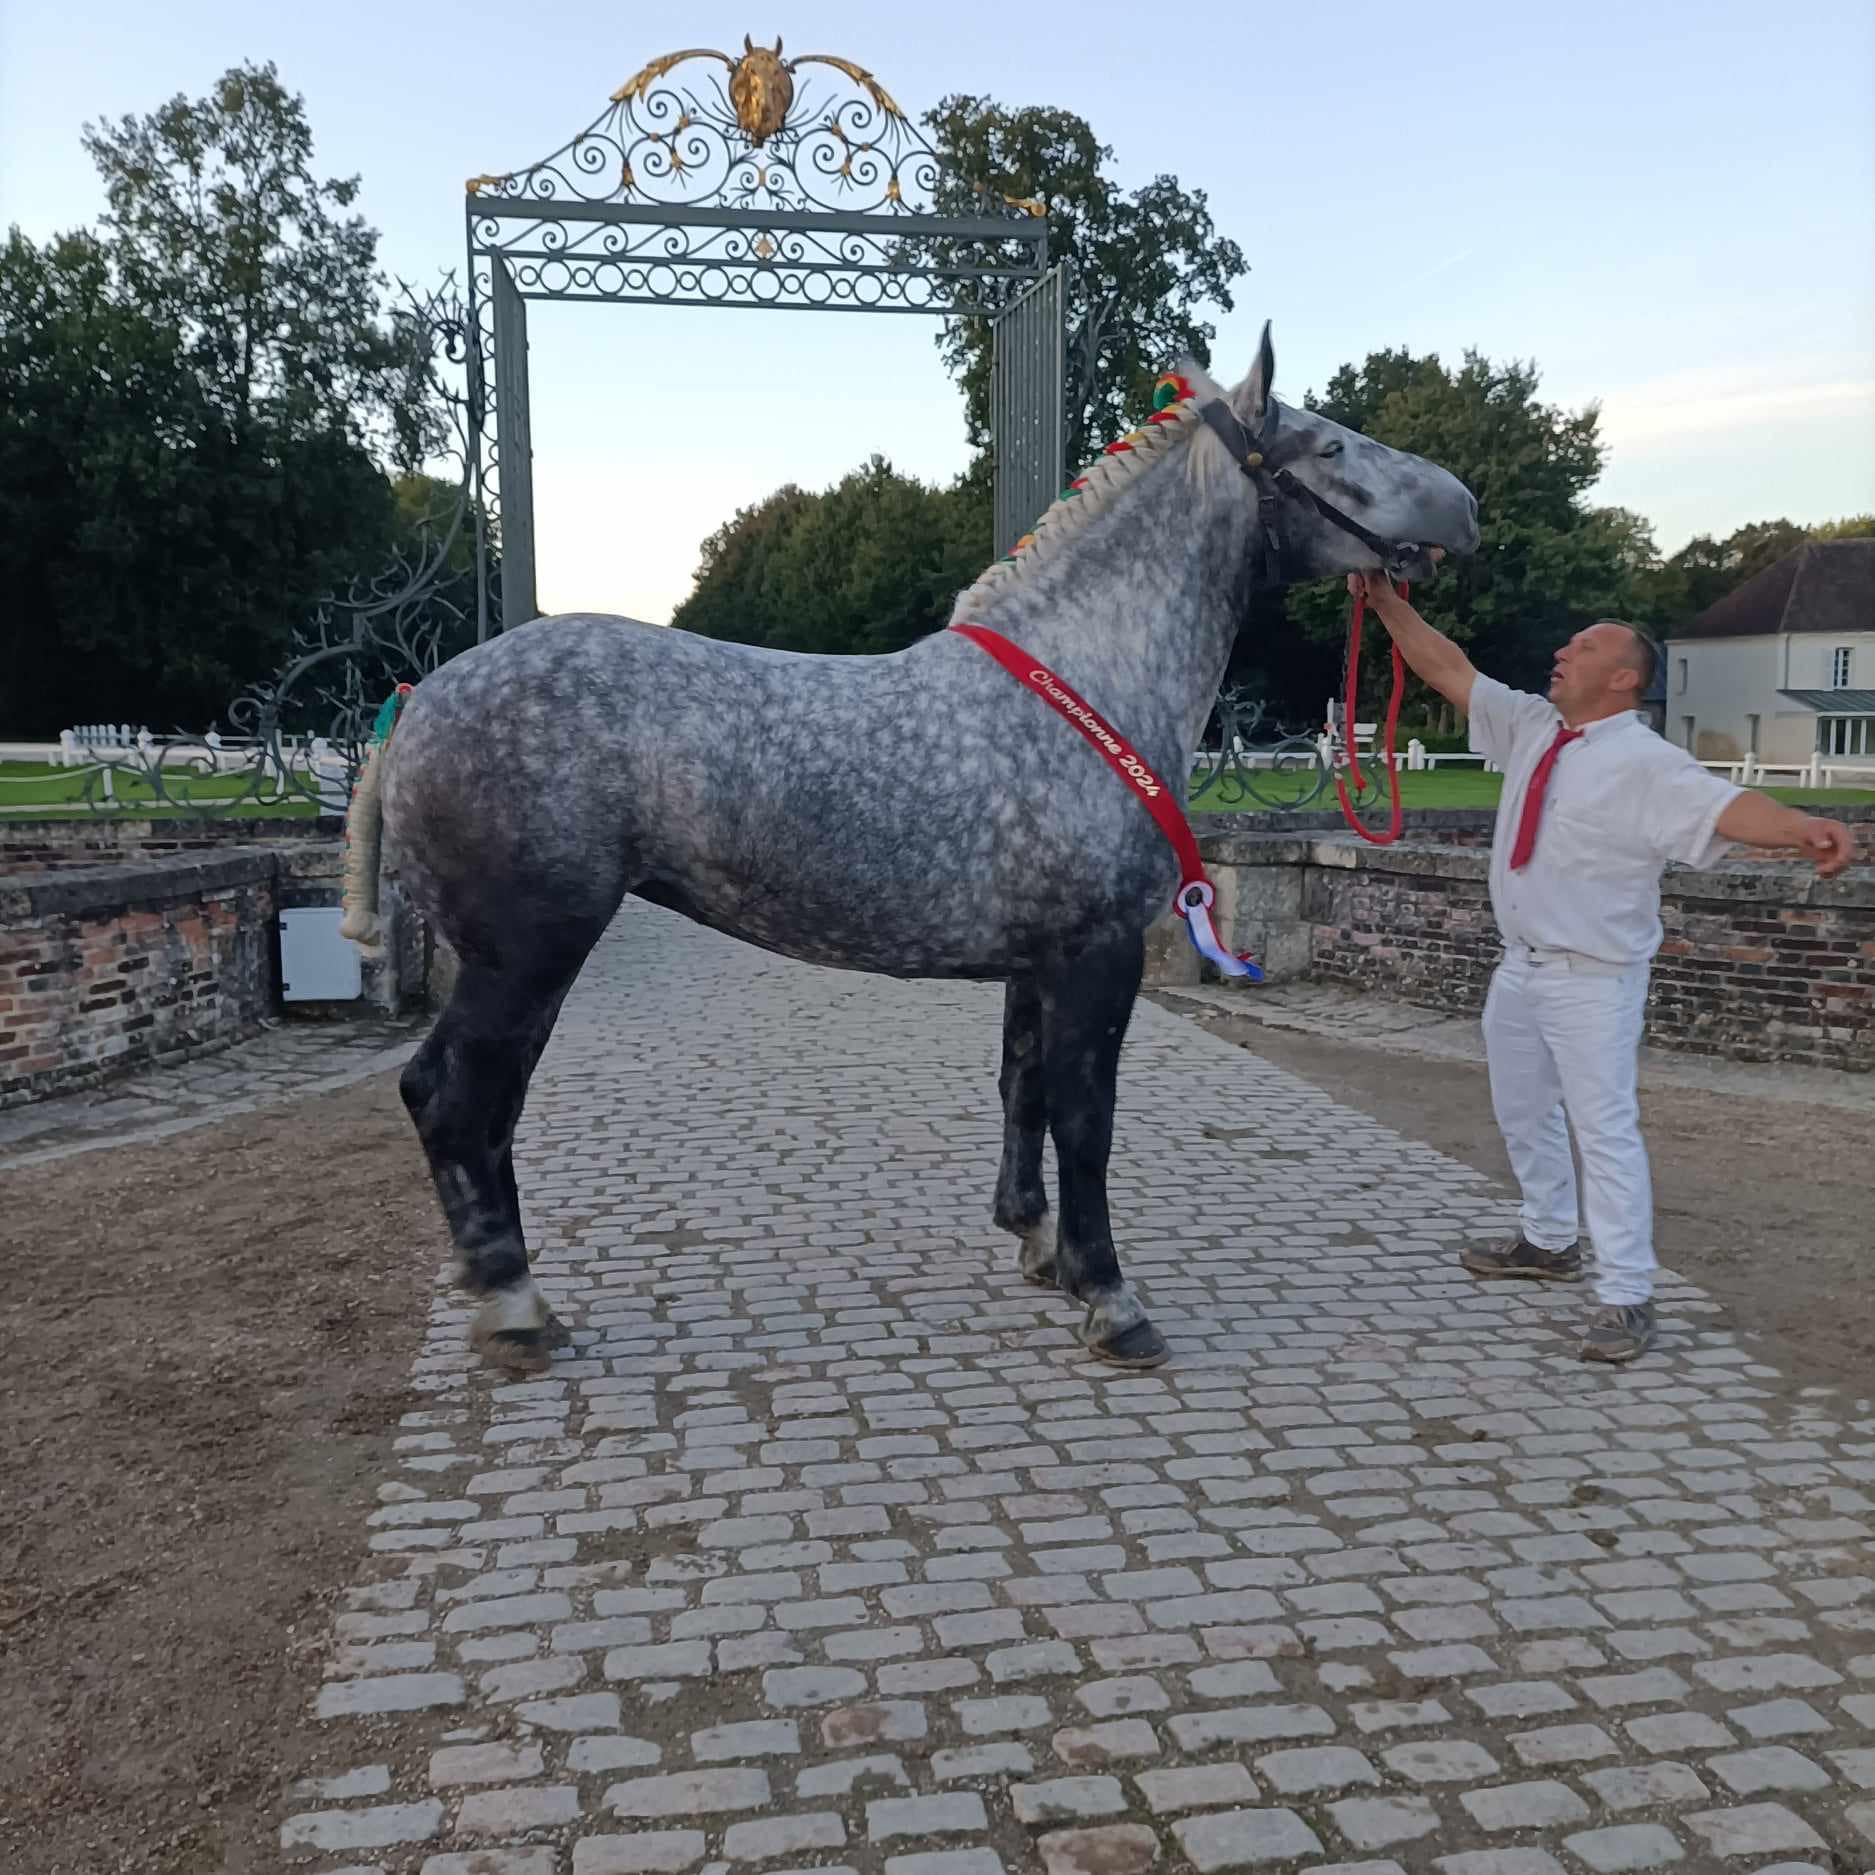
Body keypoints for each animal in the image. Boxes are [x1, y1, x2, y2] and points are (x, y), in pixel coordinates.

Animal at [337, 330, 1477, 1372]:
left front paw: (1038, 1247)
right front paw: (1111, 1298)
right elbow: (1088, 1119)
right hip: (528, 954)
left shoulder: (1039, 960)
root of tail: (418, 702)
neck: (1087, 682)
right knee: (453, 1100)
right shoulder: (1099, 954)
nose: (1463, 507)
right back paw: (516, 1307)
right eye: (1328, 445)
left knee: (477, 1110)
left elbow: (1025, 1091)